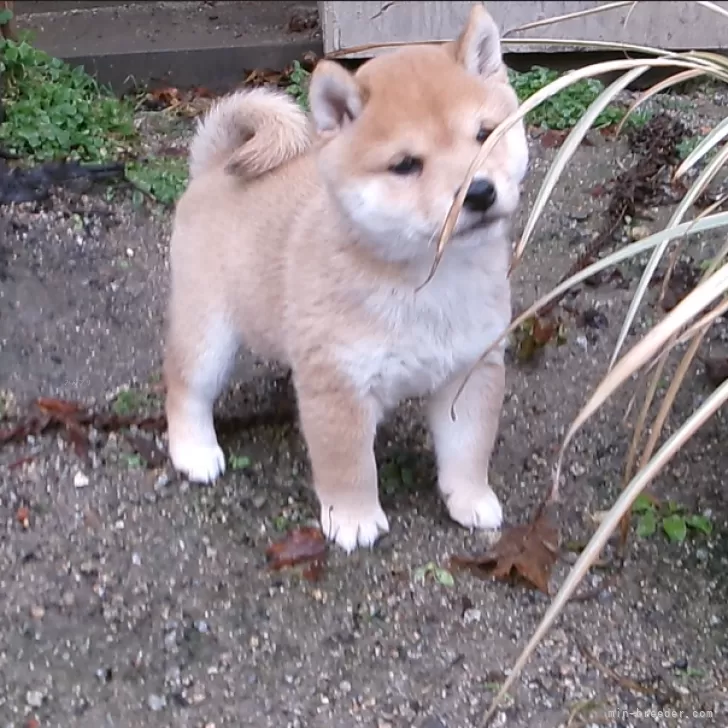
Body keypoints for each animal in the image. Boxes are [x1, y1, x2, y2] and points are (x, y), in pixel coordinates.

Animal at [165, 4, 528, 552]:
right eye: (406, 165)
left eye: (485, 134)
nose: (480, 192)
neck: (427, 282)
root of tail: (213, 169)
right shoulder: (337, 384)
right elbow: (348, 466)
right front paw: (354, 519)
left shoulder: (471, 369)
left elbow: (468, 449)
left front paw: (470, 498)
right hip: (207, 332)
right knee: (185, 387)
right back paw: (194, 451)